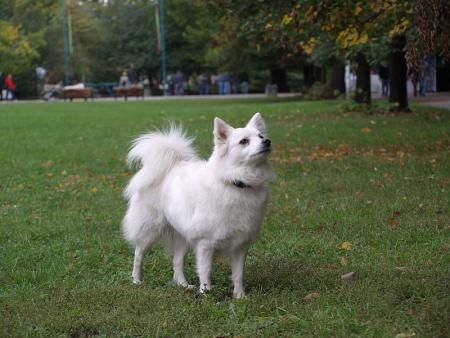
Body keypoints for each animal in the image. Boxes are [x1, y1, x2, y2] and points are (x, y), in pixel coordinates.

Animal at [121, 112, 272, 298]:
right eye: (244, 141)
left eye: (261, 136)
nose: (267, 141)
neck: (236, 182)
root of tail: (170, 166)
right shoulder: (206, 243)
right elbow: (205, 270)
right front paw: (206, 293)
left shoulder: (240, 245)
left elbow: (238, 274)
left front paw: (240, 297)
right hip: (149, 231)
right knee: (138, 255)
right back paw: (136, 280)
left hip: (183, 237)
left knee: (177, 261)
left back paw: (183, 285)